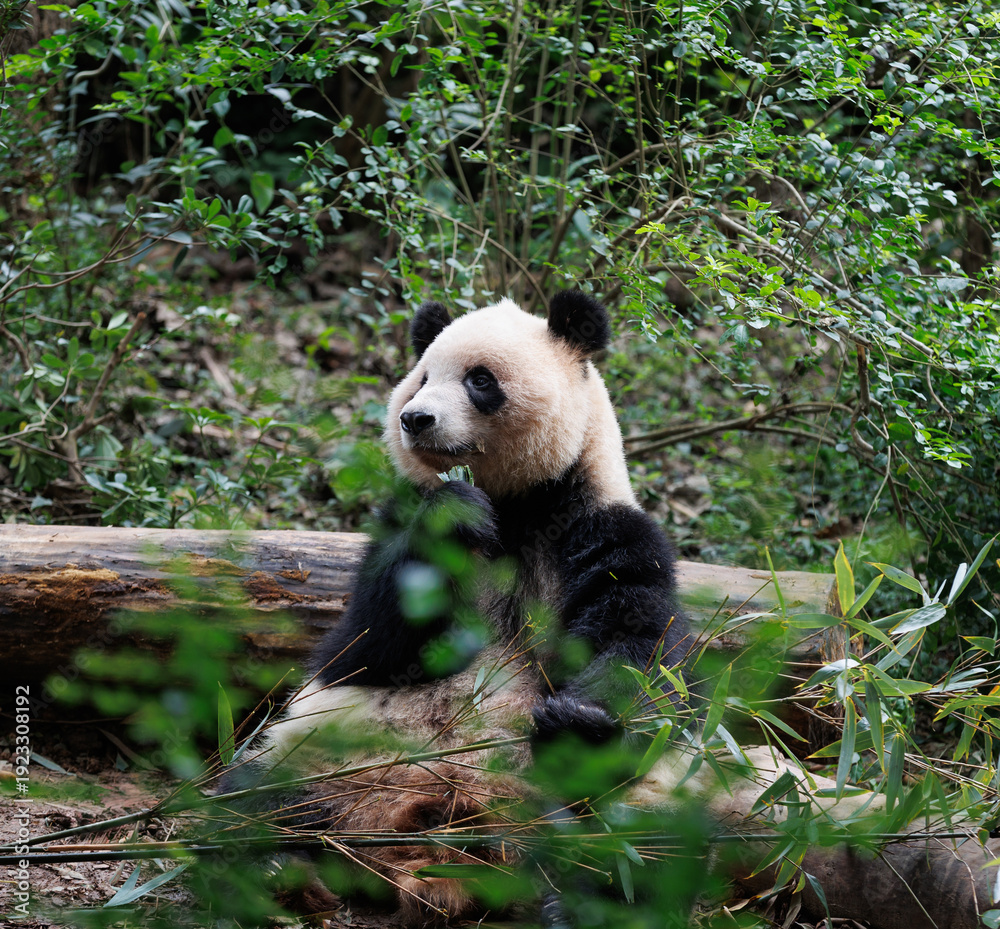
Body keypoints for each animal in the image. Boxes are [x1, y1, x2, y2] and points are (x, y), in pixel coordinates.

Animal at [221, 290, 689, 922]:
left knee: (640, 853)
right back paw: (273, 870)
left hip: (603, 810)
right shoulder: (401, 519)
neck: (515, 505)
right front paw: (456, 514)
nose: (415, 419)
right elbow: (369, 641)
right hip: (319, 756)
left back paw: (571, 902)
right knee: (246, 801)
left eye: (480, 380)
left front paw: (577, 722)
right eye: (421, 378)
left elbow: (637, 643)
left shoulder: (601, 527)